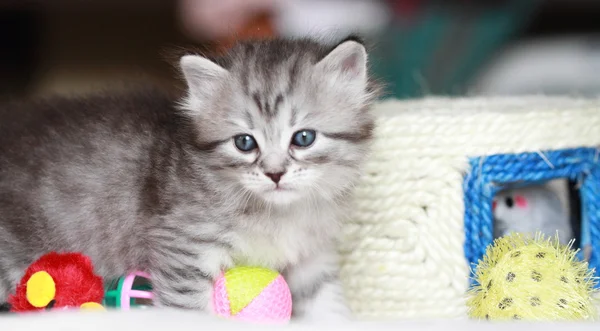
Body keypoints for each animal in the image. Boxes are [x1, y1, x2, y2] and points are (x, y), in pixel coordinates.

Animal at [0, 36, 378, 322]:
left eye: (303, 138)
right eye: (245, 143)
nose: (274, 174)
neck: (279, 214)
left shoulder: (312, 255)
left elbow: (326, 301)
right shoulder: (185, 243)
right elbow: (188, 307)